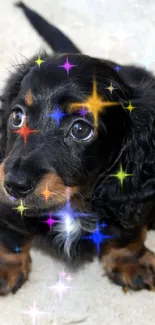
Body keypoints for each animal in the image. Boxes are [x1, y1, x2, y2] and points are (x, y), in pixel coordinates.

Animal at [0, 1, 155, 294]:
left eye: (80, 130)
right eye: (17, 116)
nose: (13, 185)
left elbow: (126, 230)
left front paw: (130, 259)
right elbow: (10, 229)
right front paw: (7, 265)